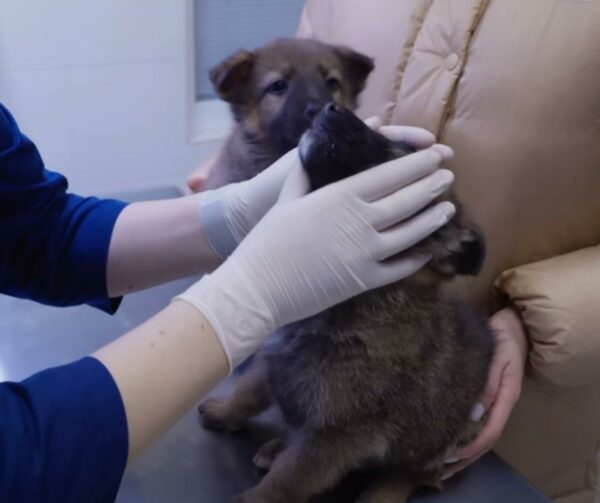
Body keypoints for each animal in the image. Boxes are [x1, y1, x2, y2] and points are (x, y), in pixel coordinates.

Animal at [199, 103, 494, 503]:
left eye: (400, 154)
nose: (330, 107)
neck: (351, 303)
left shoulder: (339, 432)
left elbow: (289, 478)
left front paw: (255, 499)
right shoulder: (274, 361)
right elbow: (248, 393)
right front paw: (224, 410)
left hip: (441, 444)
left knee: (406, 474)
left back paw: (379, 494)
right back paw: (276, 446)